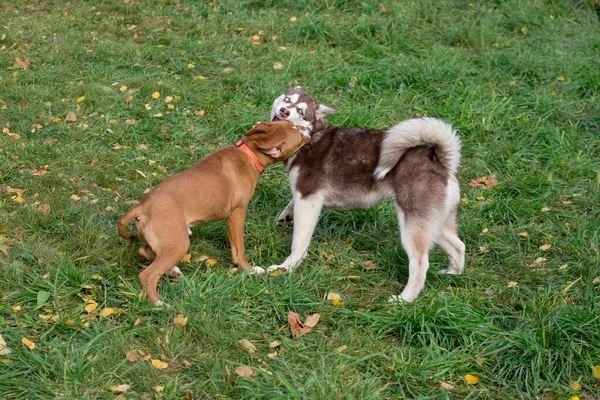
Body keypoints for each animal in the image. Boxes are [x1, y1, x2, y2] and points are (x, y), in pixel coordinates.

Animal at [116, 120, 308, 304]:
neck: (249, 152)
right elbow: (239, 249)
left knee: (145, 252)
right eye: (298, 134)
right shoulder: (237, 214)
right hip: (178, 244)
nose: (308, 128)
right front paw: (249, 270)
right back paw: (160, 304)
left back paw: (172, 271)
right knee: (148, 275)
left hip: (165, 244)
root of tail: (143, 206)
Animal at [264, 86, 466, 302]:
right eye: (287, 99)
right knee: (458, 246)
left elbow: (299, 242)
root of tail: (441, 161)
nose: (285, 111)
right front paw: (285, 216)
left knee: (420, 263)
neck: (310, 137)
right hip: (435, 224)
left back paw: (403, 299)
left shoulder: (308, 198)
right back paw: (452, 275)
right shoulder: (304, 195)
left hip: (412, 224)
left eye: (301, 111)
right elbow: (291, 202)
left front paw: (286, 267)